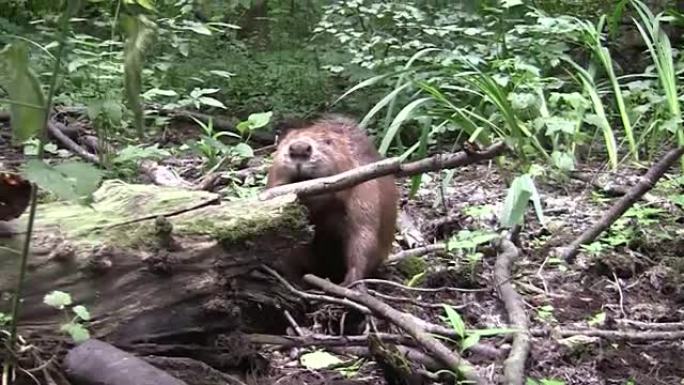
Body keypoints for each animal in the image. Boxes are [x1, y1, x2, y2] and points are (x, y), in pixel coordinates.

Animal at [264, 114, 398, 284]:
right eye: (286, 140)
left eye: (328, 141)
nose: (299, 148)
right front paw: (292, 277)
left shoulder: (366, 192)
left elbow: (364, 235)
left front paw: (350, 281)